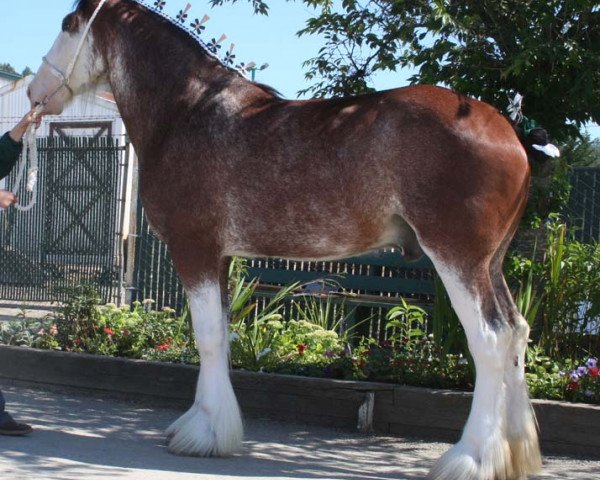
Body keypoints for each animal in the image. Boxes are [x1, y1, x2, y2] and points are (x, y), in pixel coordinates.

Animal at [29, 1, 544, 478]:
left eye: (68, 24)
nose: (35, 92)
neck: (188, 115)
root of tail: (509, 133)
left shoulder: (195, 249)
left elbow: (208, 338)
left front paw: (204, 434)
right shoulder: (221, 258)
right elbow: (221, 334)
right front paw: (207, 424)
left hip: (457, 258)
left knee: (491, 341)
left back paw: (471, 458)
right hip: (490, 264)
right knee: (517, 334)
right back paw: (515, 453)